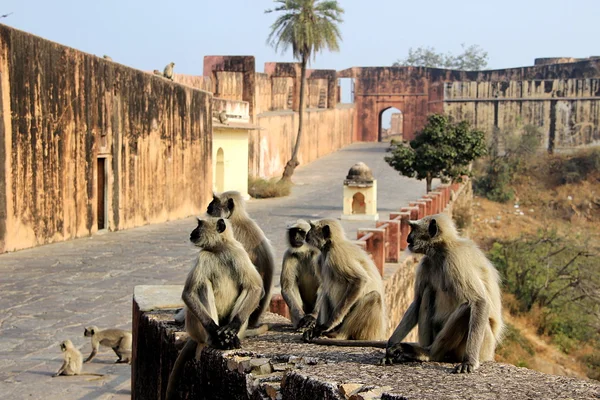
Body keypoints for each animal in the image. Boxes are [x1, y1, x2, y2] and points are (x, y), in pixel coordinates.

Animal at [168, 219, 264, 400]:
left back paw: (231, 338)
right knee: (203, 284)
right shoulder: (203, 256)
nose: (192, 232)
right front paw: (214, 330)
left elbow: (255, 288)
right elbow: (189, 293)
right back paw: (214, 339)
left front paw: (231, 329)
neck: (220, 250)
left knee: (246, 288)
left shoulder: (239, 252)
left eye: (199, 225)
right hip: (195, 326)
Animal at [382, 214, 504, 374]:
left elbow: (479, 302)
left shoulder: (455, 259)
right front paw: (390, 346)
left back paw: (429, 354)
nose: (408, 239)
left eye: (413, 229)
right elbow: (417, 301)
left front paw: (469, 362)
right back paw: (417, 351)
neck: (441, 252)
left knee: (467, 309)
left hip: (483, 345)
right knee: (428, 292)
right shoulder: (426, 262)